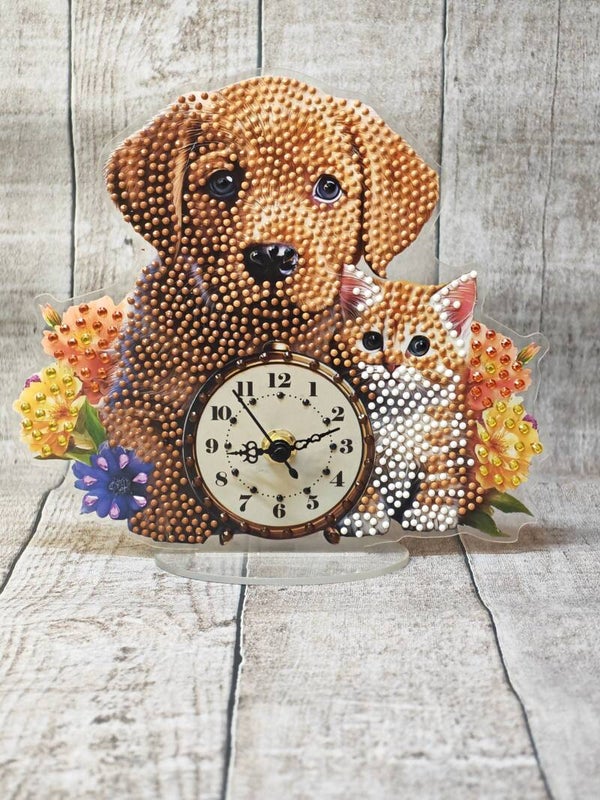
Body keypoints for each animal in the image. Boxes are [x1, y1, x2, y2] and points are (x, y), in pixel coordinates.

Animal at [102, 75, 438, 542]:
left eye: (328, 187)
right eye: (223, 181)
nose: (272, 257)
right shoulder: (130, 398)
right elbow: (154, 454)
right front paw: (171, 522)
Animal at [331, 263, 481, 536]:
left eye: (420, 345)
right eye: (372, 340)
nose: (391, 364)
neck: (399, 414)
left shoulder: (447, 440)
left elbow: (440, 475)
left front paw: (431, 512)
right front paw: (363, 515)